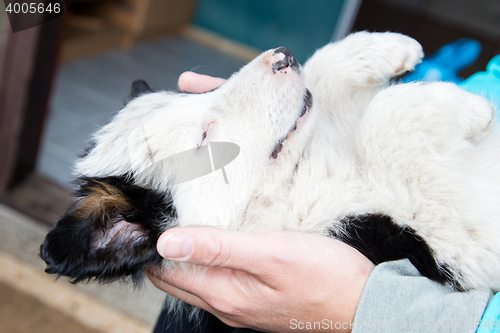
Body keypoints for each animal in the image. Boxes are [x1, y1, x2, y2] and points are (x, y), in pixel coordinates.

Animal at [41, 31, 500, 290]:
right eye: (204, 138)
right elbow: (386, 116)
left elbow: (326, 72)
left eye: (202, 93)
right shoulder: (444, 243)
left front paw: (391, 46)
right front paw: (477, 108)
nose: (282, 56)